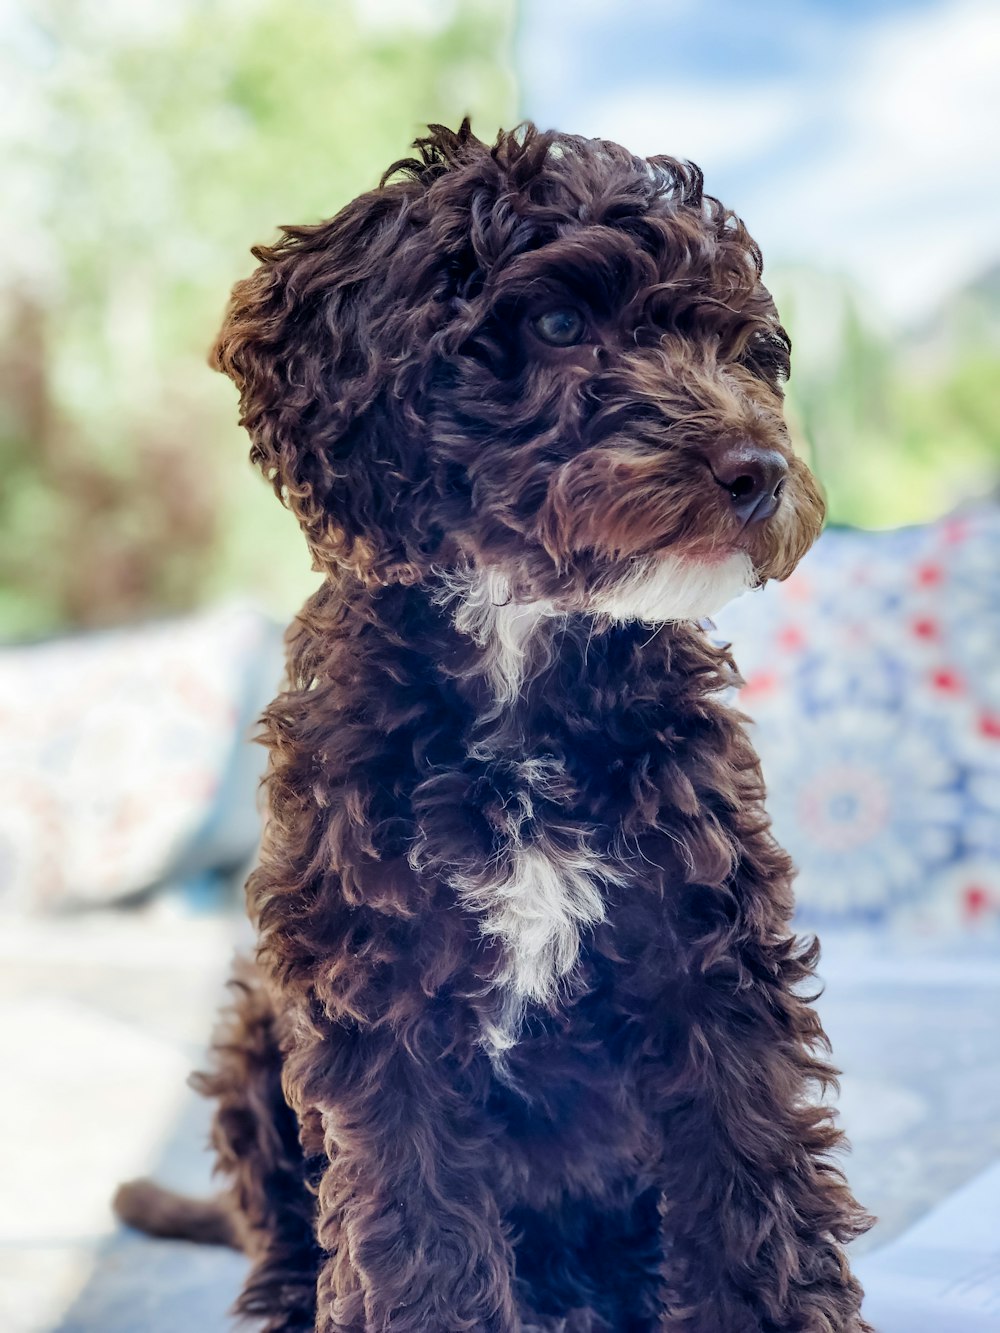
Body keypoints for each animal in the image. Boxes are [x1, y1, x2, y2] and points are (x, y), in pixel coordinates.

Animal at [113, 119, 874, 1327]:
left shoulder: (706, 951)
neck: (520, 653)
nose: (759, 471)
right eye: (558, 323)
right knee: (278, 1230)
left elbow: (753, 1175)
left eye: (744, 350)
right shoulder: (375, 987)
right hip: (249, 1038)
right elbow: (415, 1225)